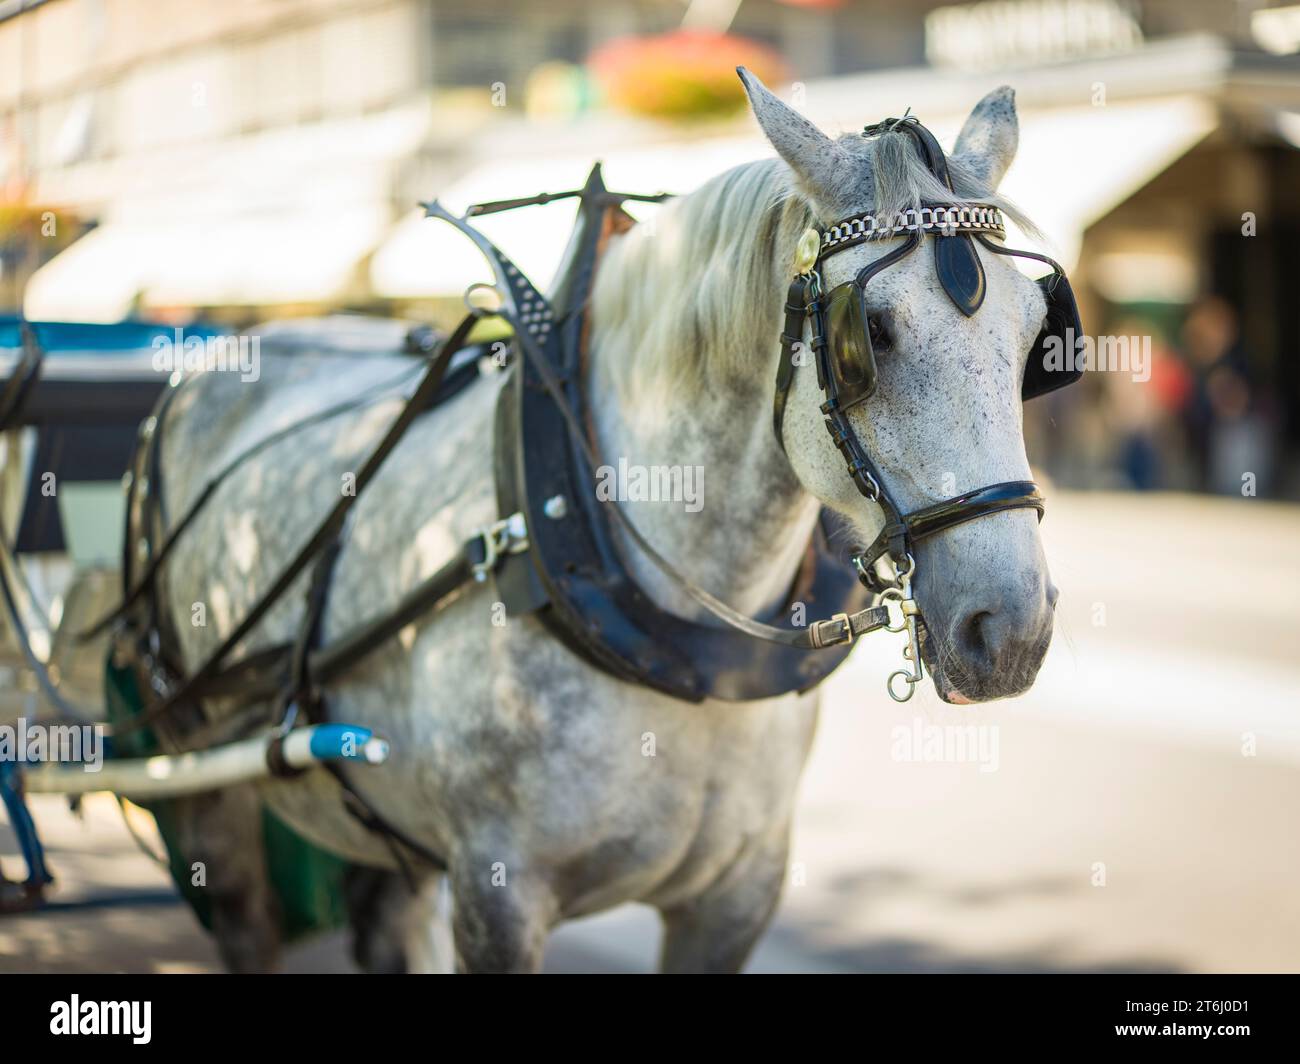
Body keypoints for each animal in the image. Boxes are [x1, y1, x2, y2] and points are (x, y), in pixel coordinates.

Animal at [144, 72, 1055, 967]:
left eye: (1039, 334)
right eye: (870, 333)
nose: (1011, 630)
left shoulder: (734, 898)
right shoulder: (498, 896)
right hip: (198, 780)